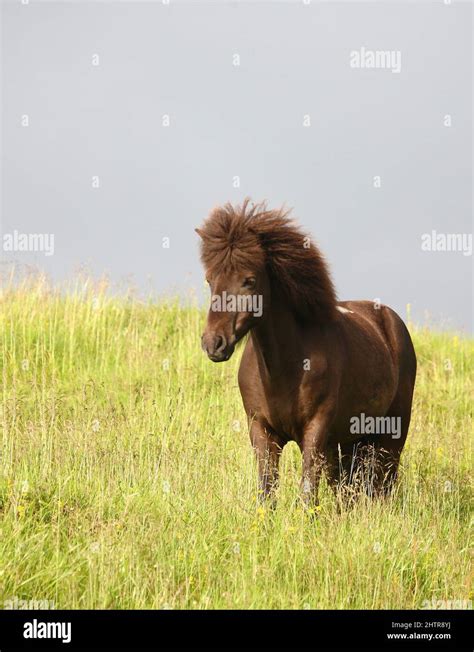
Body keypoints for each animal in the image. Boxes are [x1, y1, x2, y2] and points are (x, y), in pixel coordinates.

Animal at [194, 201, 416, 506]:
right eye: (209, 280)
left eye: (249, 280)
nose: (213, 343)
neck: (284, 368)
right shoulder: (262, 431)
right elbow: (267, 492)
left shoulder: (316, 431)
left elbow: (308, 493)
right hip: (349, 442)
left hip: (391, 435)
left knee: (382, 484)